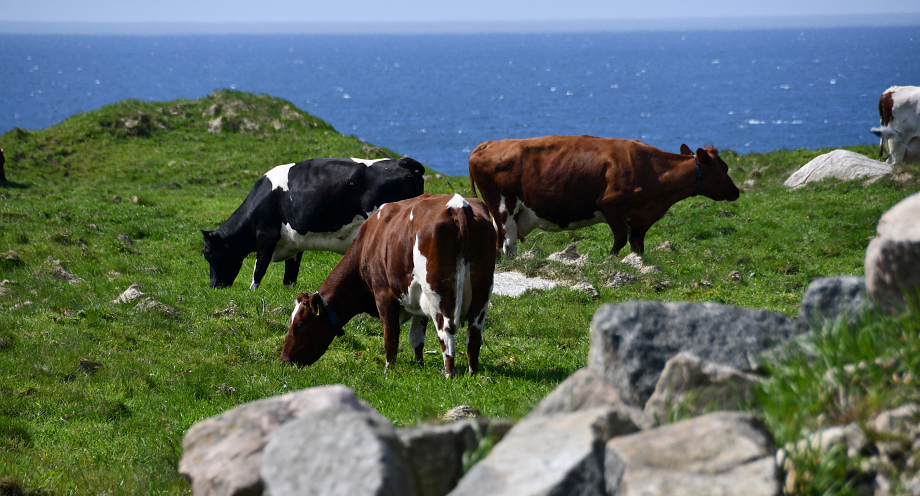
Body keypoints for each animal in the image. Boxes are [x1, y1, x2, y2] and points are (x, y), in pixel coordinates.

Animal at [201, 157, 424, 288]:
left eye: (208, 255)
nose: (214, 286)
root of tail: (405, 162)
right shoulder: (294, 242)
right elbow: (290, 275)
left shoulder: (266, 233)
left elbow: (260, 266)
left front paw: (253, 291)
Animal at [278, 193, 496, 376]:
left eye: (299, 325)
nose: (283, 361)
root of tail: (458, 204)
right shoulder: (418, 300)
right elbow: (416, 338)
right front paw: (419, 366)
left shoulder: (383, 292)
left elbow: (390, 335)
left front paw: (388, 370)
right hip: (482, 291)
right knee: (474, 335)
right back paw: (472, 373)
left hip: (438, 292)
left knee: (446, 333)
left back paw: (449, 374)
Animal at [470, 136, 744, 260]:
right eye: (724, 168)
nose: (736, 192)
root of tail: (485, 145)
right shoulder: (612, 206)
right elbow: (620, 240)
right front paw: (611, 261)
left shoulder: (640, 218)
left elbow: (637, 244)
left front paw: (636, 261)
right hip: (503, 208)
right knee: (506, 244)